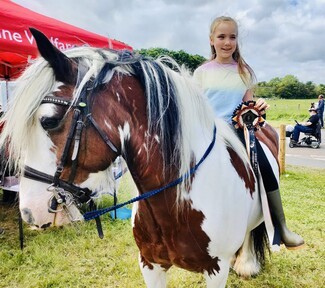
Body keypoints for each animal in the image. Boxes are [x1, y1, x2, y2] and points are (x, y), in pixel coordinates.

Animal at [0, 29, 268, 286]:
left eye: (49, 121)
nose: (29, 212)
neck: (175, 202)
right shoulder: (150, 264)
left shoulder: (215, 270)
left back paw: (246, 263)